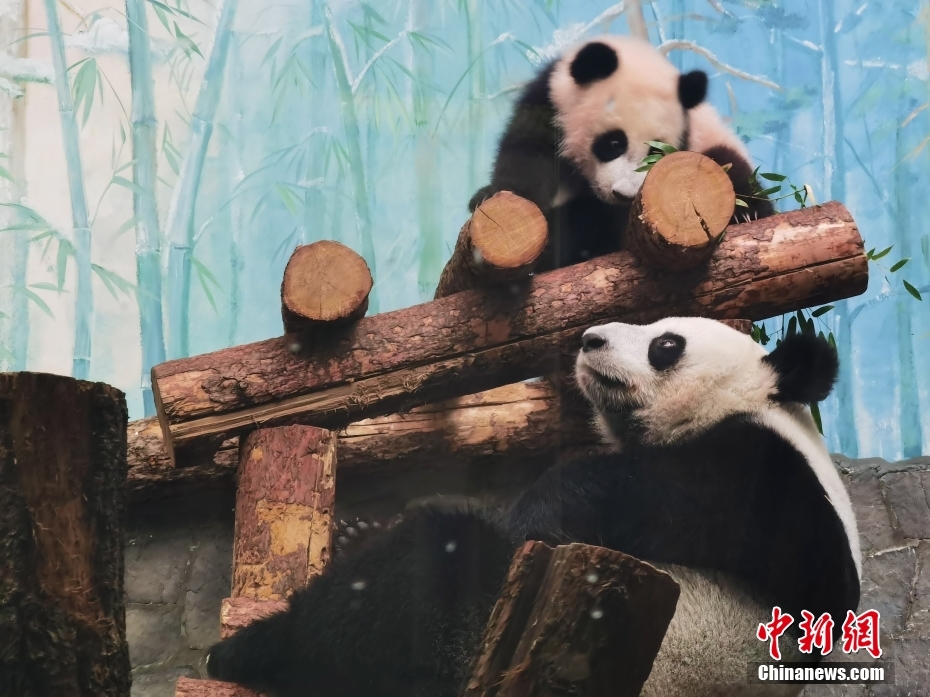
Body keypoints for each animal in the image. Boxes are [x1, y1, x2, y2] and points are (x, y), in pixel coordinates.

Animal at [205, 318, 860, 697]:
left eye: (666, 344)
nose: (590, 339)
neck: (757, 406)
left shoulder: (760, 473)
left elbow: (639, 497)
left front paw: (532, 511)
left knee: (427, 570)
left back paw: (252, 648)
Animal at [470, 36, 775, 272]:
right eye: (614, 143)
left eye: (656, 151)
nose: (624, 196)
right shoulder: (547, 107)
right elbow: (524, 157)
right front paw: (496, 199)